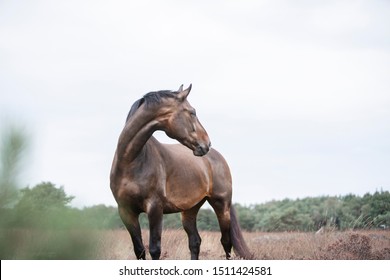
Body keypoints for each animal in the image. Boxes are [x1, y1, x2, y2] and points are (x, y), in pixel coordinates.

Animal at [109, 84, 251, 260]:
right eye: (192, 112)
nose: (206, 143)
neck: (130, 161)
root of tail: (217, 157)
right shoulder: (126, 212)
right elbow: (139, 250)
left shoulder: (155, 209)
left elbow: (155, 249)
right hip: (190, 210)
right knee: (195, 242)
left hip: (221, 206)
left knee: (226, 243)